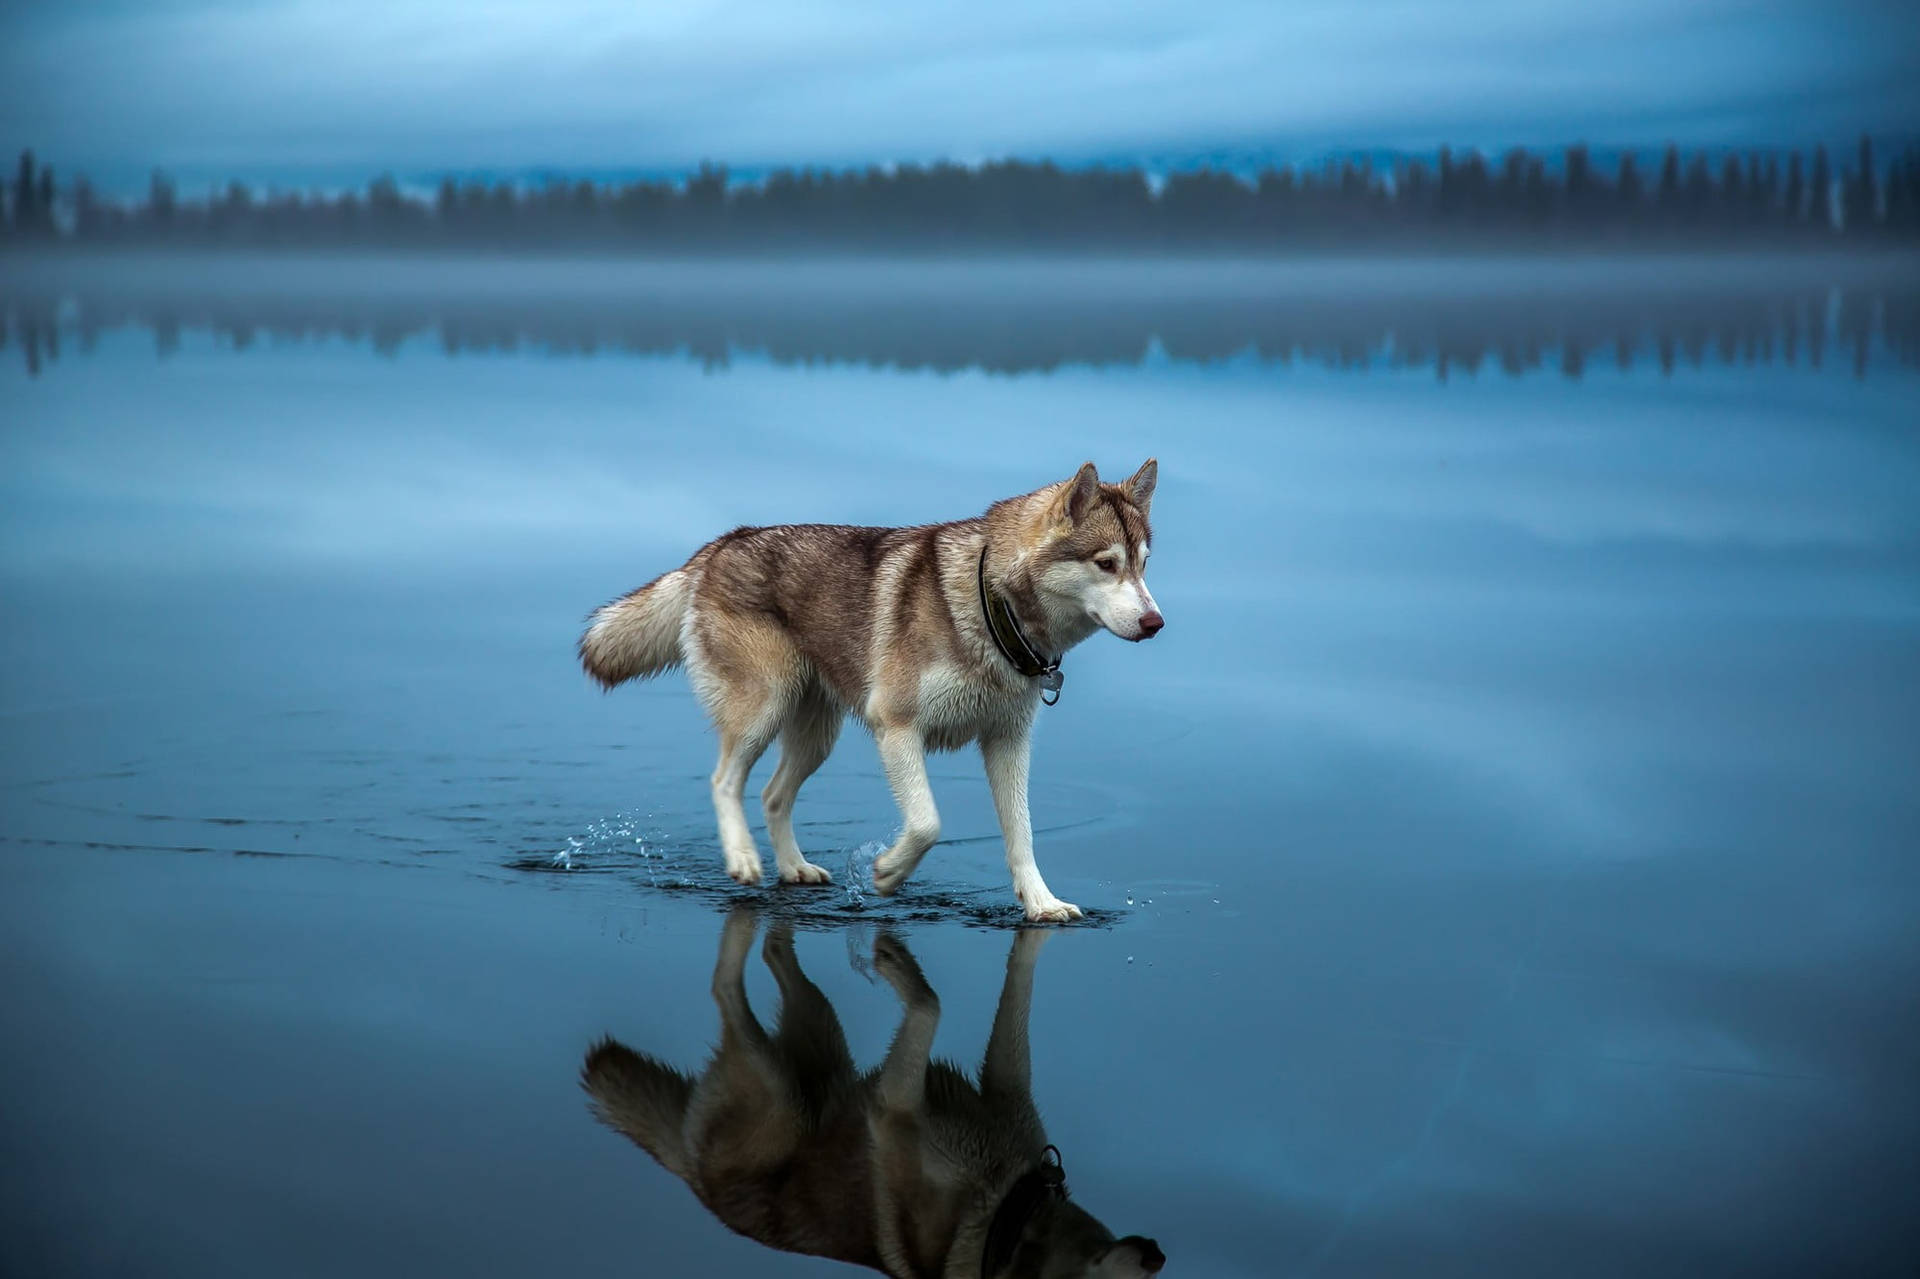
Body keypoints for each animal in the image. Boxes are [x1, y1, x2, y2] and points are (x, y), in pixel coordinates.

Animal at [579, 460, 1162, 923]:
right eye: (1106, 563)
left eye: (1143, 565)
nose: (1155, 623)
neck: (990, 606)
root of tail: (722, 543)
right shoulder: (897, 727)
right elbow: (927, 823)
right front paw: (887, 873)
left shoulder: (1008, 743)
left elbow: (1022, 835)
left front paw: (1042, 904)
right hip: (763, 708)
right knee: (725, 780)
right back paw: (743, 859)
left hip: (817, 735)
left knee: (772, 796)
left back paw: (793, 868)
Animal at [581, 911, 1167, 1277]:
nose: (1159, 1257)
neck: (1007, 1214)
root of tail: (692, 1180)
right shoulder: (893, 1108)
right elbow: (930, 1004)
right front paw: (894, 962)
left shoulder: (1004, 1086)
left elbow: (1016, 989)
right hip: (780, 1090)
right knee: (725, 987)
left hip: (820, 1036)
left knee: (776, 952)